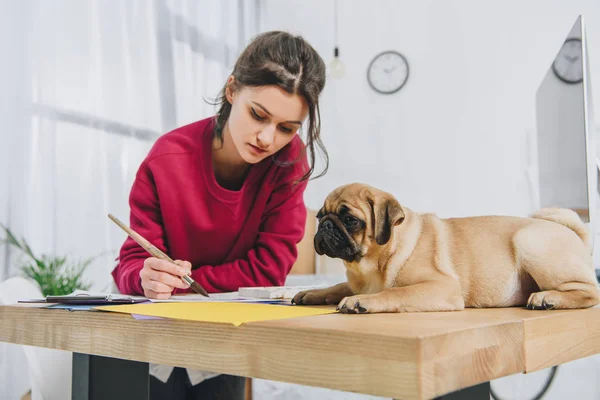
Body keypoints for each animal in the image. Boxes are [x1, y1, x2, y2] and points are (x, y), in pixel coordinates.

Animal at [292, 183, 600, 314]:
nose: (325, 227)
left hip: (529, 242)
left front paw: (361, 302)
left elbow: (395, 292)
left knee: (589, 291)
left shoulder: (443, 287)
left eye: (350, 220)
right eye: (320, 217)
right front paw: (313, 293)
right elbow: (337, 286)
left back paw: (548, 298)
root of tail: (575, 232)